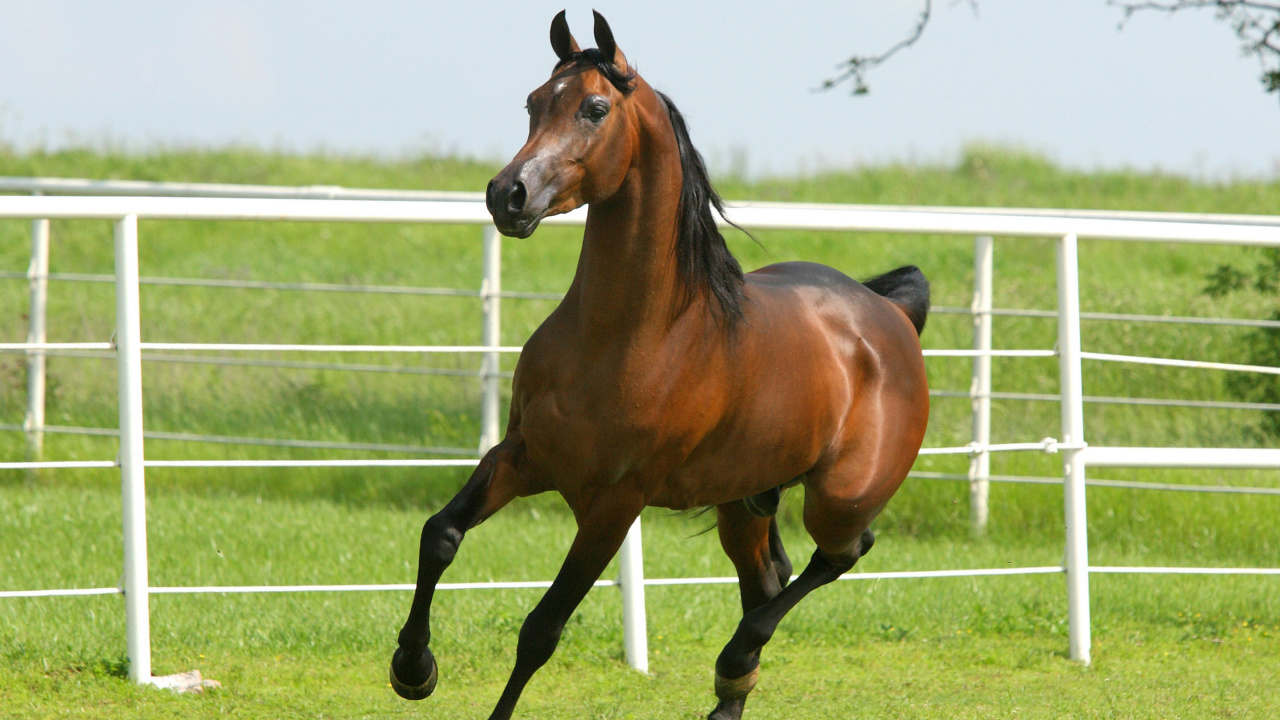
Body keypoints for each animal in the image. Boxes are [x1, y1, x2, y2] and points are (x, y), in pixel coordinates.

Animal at [390, 11, 930, 719]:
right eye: (533, 102)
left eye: (594, 108)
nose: (508, 195)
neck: (624, 338)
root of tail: (891, 314)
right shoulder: (523, 455)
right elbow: (440, 535)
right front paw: (412, 668)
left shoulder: (615, 503)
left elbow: (541, 630)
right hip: (743, 501)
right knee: (769, 578)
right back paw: (732, 689)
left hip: (840, 497)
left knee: (841, 553)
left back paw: (735, 659)